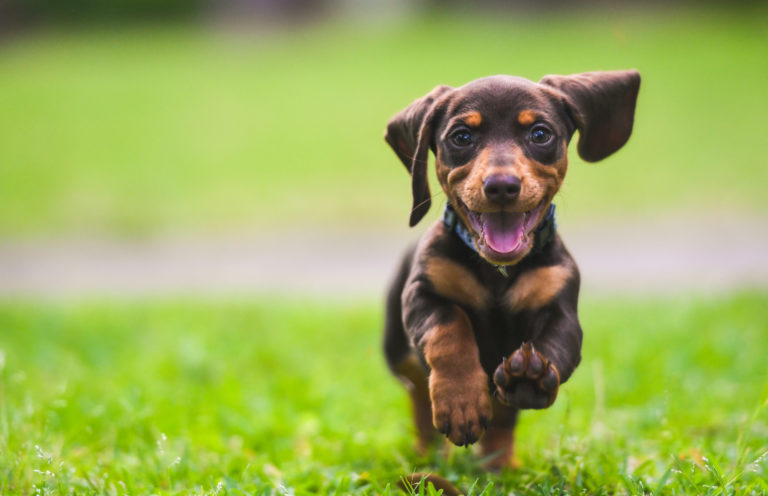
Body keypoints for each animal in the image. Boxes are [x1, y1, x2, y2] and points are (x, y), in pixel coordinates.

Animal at [380, 70, 640, 468]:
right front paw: (460, 402)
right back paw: (430, 455)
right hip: (398, 350)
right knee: (419, 397)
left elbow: (556, 344)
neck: (497, 272)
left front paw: (529, 378)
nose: (502, 186)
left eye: (540, 133)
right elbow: (449, 332)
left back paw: (500, 464)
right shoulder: (422, 295)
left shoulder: (561, 306)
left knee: (502, 421)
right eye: (461, 137)